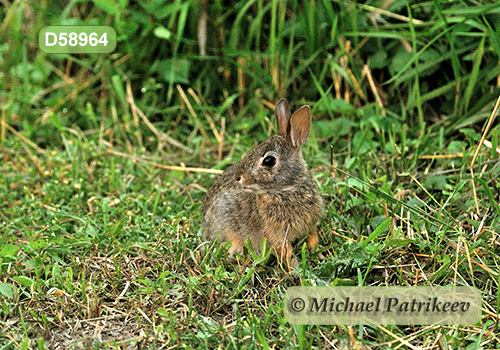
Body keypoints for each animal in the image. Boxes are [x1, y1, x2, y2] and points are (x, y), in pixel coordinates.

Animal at [200, 100, 324, 270]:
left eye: (269, 161)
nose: (238, 177)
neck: (286, 190)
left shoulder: (310, 226)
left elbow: (312, 239)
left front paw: (318, 254)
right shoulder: (277, 236)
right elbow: (286, 251)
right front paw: (296, 268)